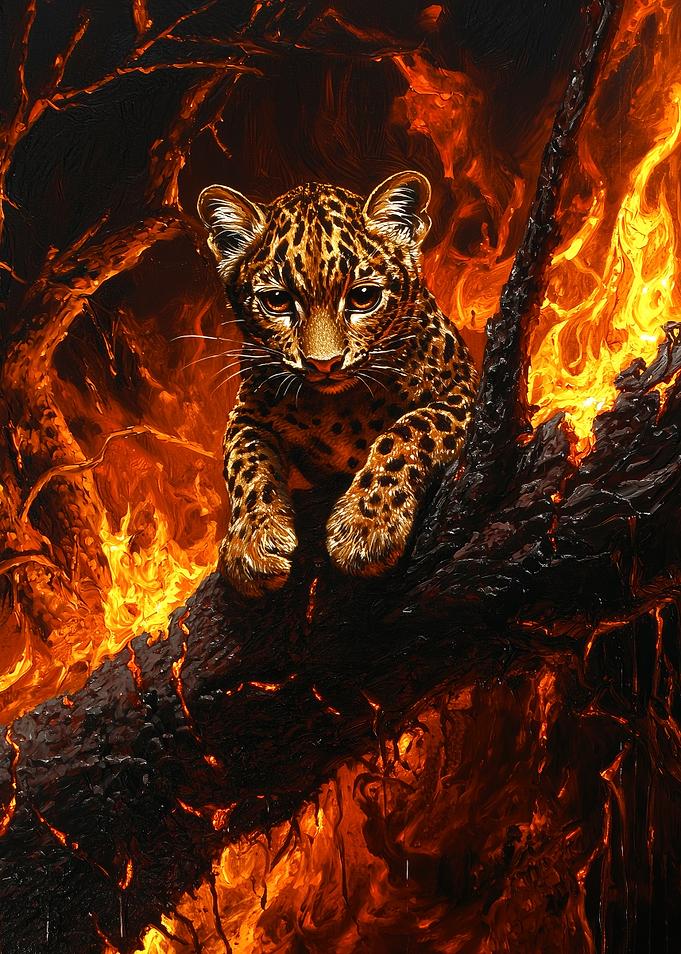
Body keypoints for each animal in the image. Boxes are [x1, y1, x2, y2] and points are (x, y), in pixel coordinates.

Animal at [197, 171, 478, 598]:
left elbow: (409, 429)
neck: (336, 407)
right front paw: (253, 543)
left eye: (363, 297)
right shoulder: (247, 412)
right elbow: (245, 463)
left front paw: (366, 526)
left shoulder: (463, 392)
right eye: (276, 301)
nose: (323, 363)